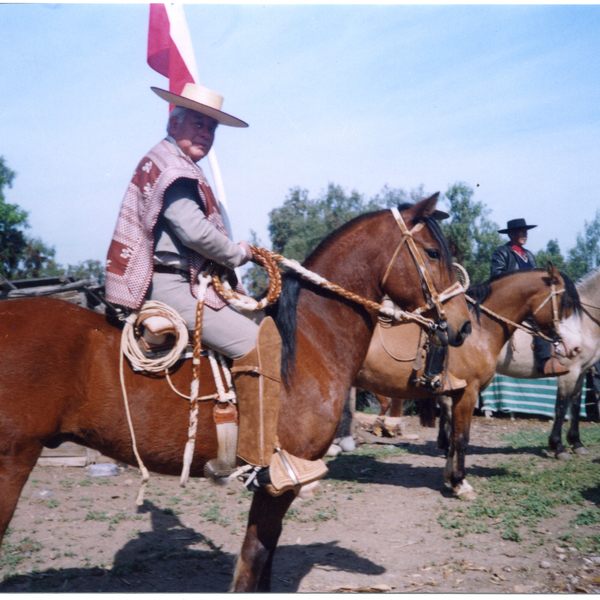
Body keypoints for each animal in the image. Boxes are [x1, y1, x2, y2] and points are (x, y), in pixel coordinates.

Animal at [0, 196, 472, 592]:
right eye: (433, 252)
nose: (464, 324)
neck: (309, 341)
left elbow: (266, 561)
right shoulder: (277, 483)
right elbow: (254, 559)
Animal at [356, 264, 580, 500]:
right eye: (566, 302)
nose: (574, 347)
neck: (479, 331)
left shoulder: (455, 395)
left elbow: (454, 437)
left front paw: (451, 479)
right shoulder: (468, 394)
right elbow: (462, 438)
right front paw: (461, 483)